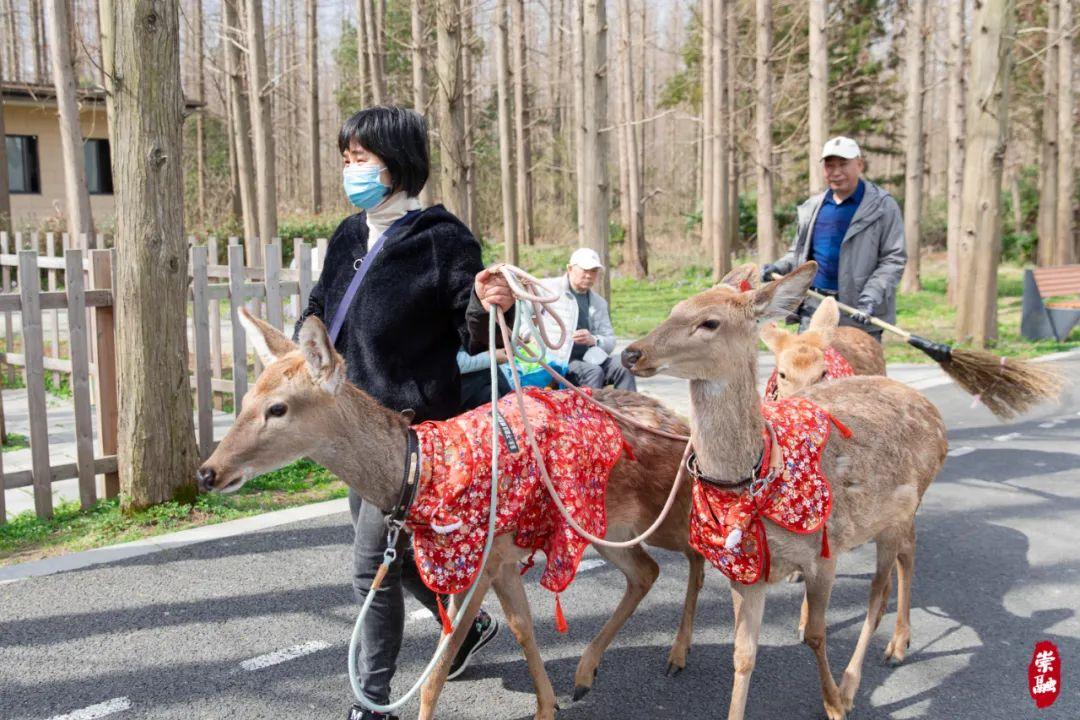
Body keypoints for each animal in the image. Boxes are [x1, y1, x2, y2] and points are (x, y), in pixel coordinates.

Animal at [200, 308, 708, 720]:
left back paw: (678, 655)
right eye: (243, 401)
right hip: (607, 527)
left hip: (659, 508)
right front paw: (549, 705)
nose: (208, 472)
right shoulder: (501, 558)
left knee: (699, 551)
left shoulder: (480, 558)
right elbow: (523, 628)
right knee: (646, 571)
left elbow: (437, 671)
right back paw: (587, 673)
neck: (419, 473)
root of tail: (677, 421)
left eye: (278, 407)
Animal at [622, 263, 950, 720]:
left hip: (900, 511)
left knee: (882, 589)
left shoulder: (824, 553)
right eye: (673, 308)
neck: (761, 470)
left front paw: (834, 704)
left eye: (710, 322)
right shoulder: (745, 571)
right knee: (901, 562)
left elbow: (816, 634)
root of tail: (933, 412)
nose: (631, 353)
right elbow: (743, 655)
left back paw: (872, 667)